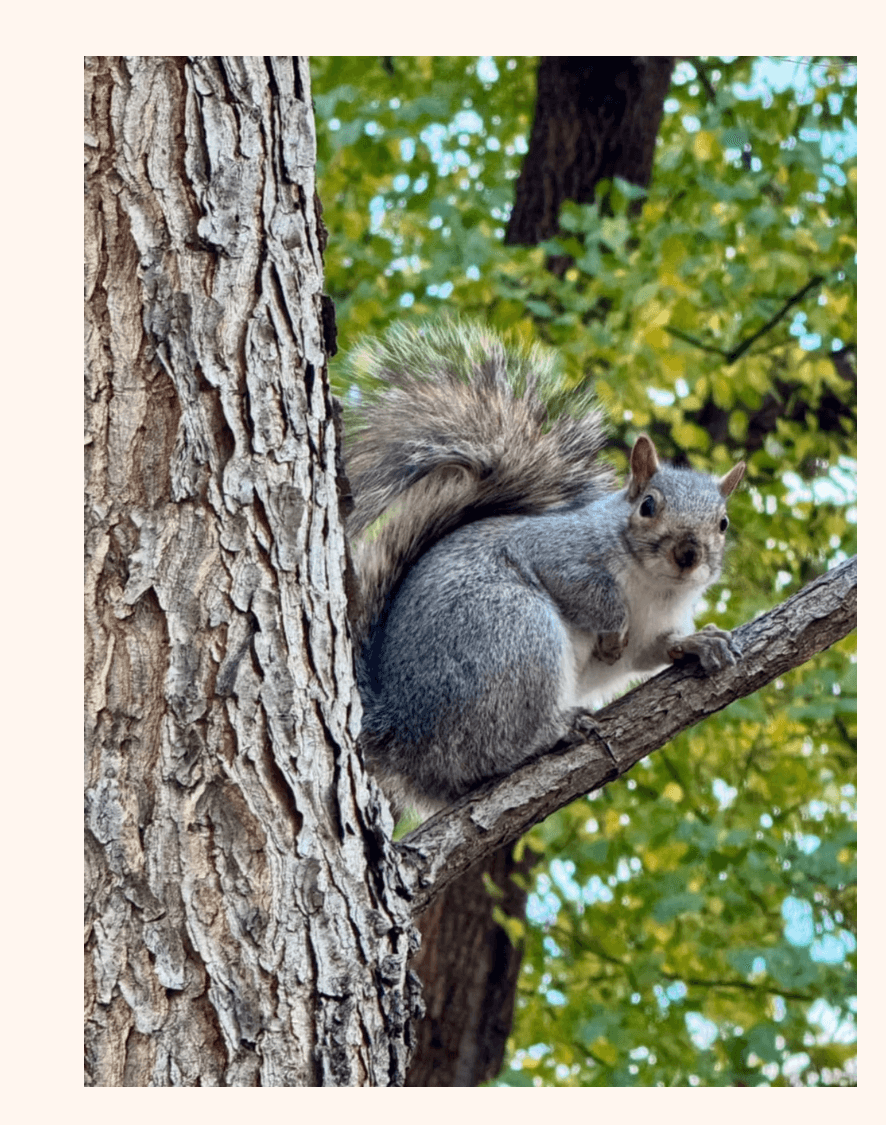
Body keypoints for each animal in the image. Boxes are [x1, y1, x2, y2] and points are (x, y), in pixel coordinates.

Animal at [344, 321, 746, 818]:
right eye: (649, 506)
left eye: (723, 523)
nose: (688, 553)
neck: (655, 588)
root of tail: (402, 733)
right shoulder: (555, 552)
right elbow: (588, 595)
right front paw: (615, 626)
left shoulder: (654, 627)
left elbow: (649, 651)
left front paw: (697, 642)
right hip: (514, 634)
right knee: (490, 748)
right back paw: (555, 732)